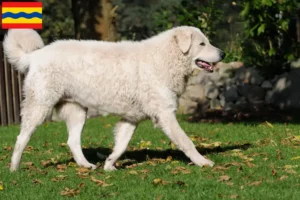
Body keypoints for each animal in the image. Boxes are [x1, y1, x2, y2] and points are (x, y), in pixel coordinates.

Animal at [3, 25, 225, 171]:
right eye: (202, 43)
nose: (223, 54)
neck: (164, 58)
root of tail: (35, 56)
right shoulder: (166, 114)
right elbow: (186, 141)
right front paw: (203, 162)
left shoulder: (131, 118)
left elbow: (121, 145)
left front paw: (109, 165)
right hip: (39, 106)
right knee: (21, 138)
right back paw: (14, 168)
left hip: (78, 112)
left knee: (72, 141)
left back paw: (86, 165)